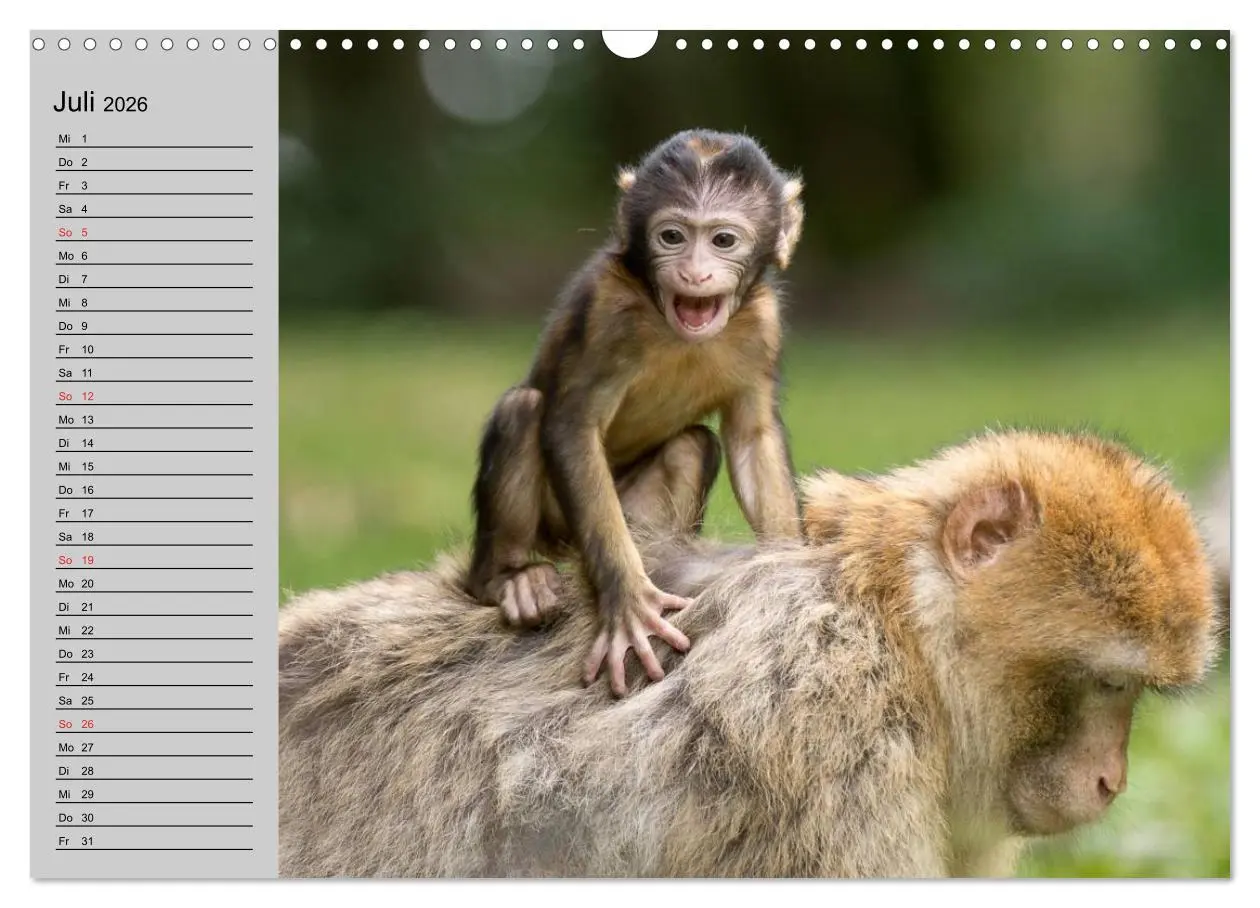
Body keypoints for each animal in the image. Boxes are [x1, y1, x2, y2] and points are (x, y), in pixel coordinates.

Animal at [465, 128, 805, 696]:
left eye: (722, 241)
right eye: (672, 236)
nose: (694, 272)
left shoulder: (764, 324)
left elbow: (751, 438)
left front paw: (787, 571)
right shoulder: (608, 311)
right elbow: (572, 427)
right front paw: (627, 603)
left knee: (693, 445)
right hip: (556, 528)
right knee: (524, 409)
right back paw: (507, 580)